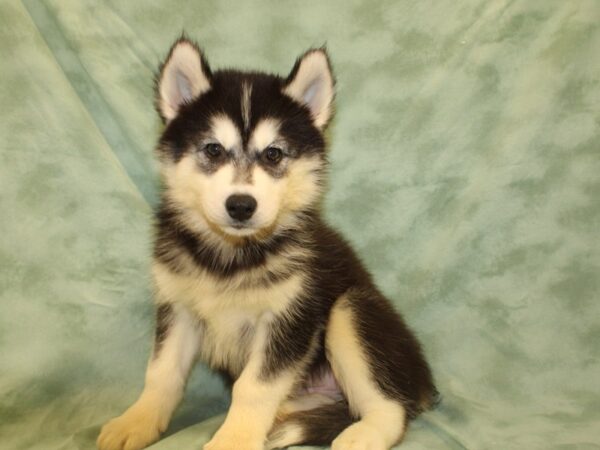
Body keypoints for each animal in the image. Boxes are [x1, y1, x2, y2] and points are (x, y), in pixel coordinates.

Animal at [97, 37, 436, 450]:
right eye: (213, 150)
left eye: (273, 153)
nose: (241, 205)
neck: (230, 255)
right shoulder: (177, 309)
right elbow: (161, 373)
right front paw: (137, 421)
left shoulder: (291, 316)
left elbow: (253, 388)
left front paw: (233, 441)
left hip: (351, 311)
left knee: (391, 407)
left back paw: (361, 436)